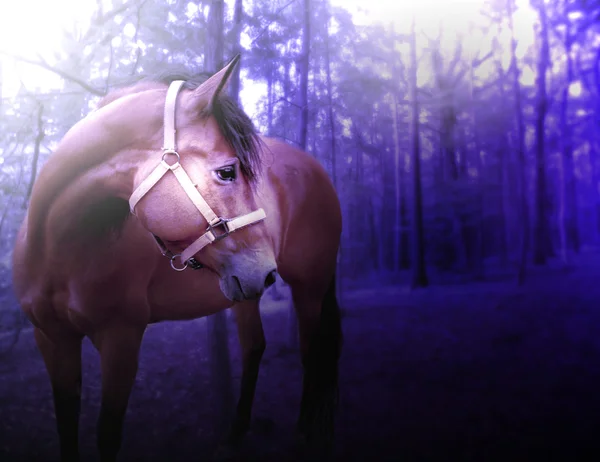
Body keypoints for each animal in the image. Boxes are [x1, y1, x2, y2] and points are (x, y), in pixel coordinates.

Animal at [11, 56, 342, 462]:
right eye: (228, 172)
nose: (266, 270)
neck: (58, 250)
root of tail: (316, 169)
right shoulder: (52, 339)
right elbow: (66, 427)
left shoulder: (121, 339)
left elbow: (107, 434)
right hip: (245, 292)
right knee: (254, 347)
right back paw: (233, 436)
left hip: (309, 284)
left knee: (312, 352)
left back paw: (303, 436)